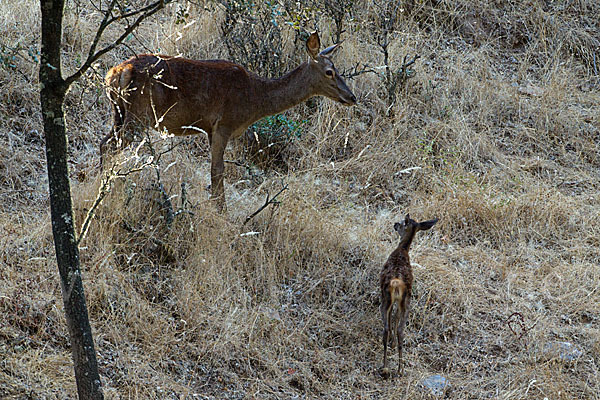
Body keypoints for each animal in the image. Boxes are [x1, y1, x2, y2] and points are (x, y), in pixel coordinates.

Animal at [101, 32, 356, 209]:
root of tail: (116, 72)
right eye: (330, 72)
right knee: (112, 146)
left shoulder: (209, 129)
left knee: (105, 143)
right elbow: (218, 170)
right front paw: (221, 210)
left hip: (119, 112)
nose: (352, 97)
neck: (255, 98)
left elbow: (214, 170)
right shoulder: (224, 123)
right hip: (139, 114)